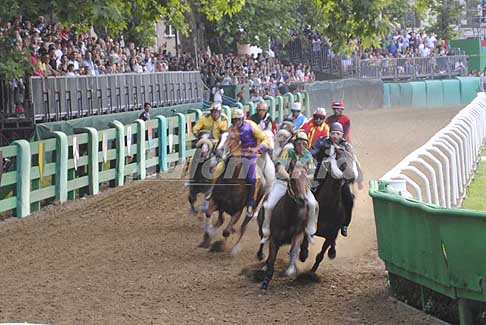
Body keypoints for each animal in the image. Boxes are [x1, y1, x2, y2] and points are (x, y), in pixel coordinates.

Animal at [298, 143, 358, 272]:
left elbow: (321, 254)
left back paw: (332, 251)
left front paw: (312, 271)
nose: (351, 177)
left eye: (352, 160)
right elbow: (304, 243)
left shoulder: (331, 234)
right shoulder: (309, 227)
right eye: (342, 162)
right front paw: (303, 255)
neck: (327, 207)